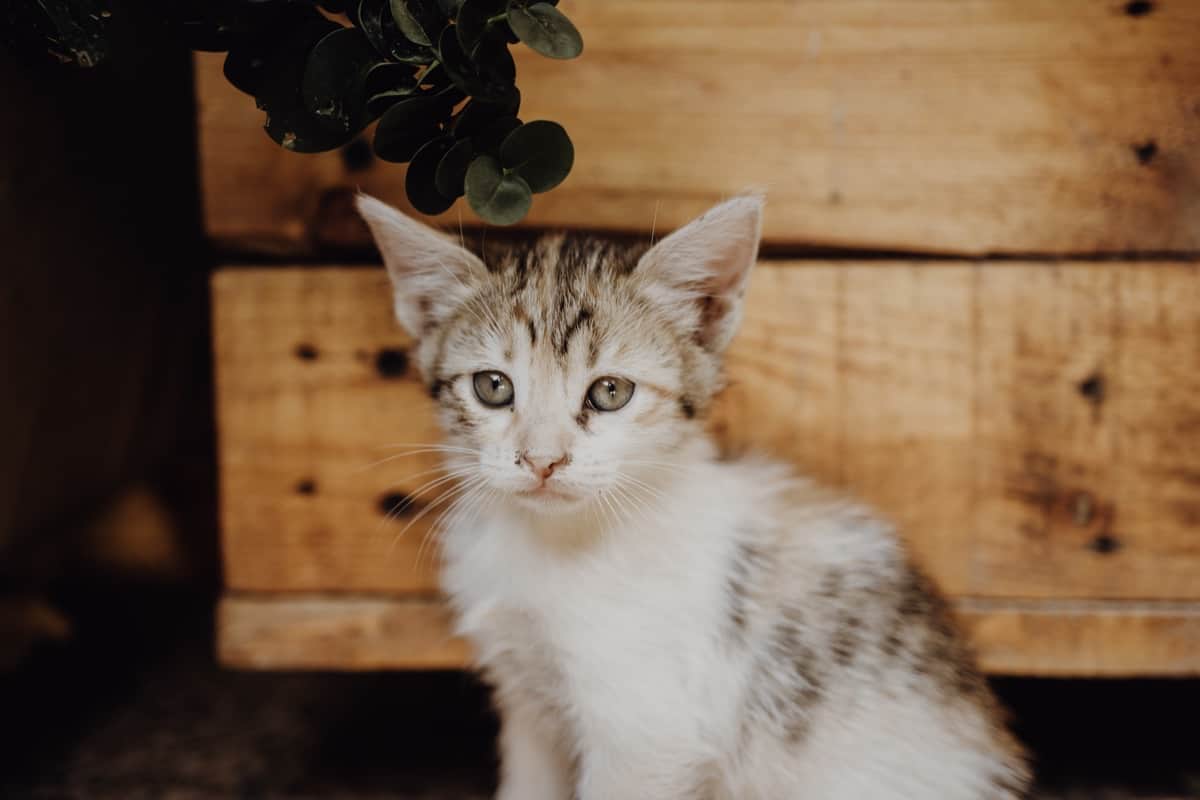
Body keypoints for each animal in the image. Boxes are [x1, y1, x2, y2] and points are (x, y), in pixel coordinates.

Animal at [355, 194, 1032, 800]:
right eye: (493, 386)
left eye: (609, 393)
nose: (542, 460)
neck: (555, 543)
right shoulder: (529, 702)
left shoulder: (647, 731)